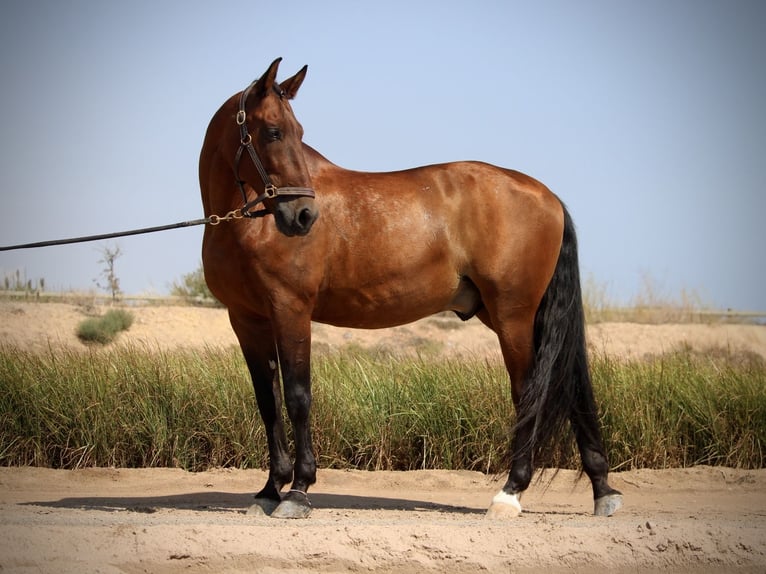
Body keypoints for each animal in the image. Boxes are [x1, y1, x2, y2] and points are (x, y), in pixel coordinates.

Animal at [199, 58, 623, 519]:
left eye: (299, 132)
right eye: (274, 132)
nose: (304, 215)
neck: (245, 223)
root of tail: (546, 195)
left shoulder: (290, 310)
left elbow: (297, 397)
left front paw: (298, 491)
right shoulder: (247, 320)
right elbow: (268, 402)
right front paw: (269, 490)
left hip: (514, 315)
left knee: (529, 394)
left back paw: (510, 493)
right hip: (512, 315)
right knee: (572, 389)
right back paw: (603, 490)